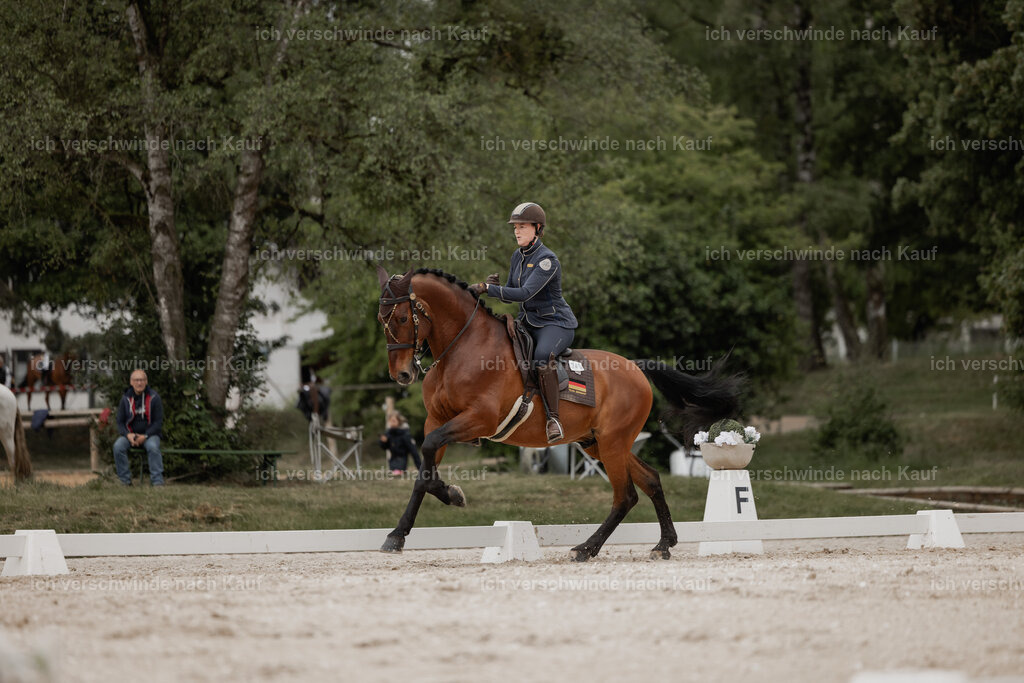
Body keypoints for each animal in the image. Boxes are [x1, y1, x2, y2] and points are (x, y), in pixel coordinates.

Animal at [375, 266, 743, 562]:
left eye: (403, 318)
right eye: (382, 321)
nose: (402, 374)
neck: (461, 349)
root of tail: (636, 367)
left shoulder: (478, 419)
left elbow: (427, 454)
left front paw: (452, 494)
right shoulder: (436, 421)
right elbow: (423, 471)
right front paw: (398, 534)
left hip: (613, 443)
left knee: (625, 495)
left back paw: (586, 548)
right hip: (599, 443)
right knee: (650, 480)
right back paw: (663, 544)